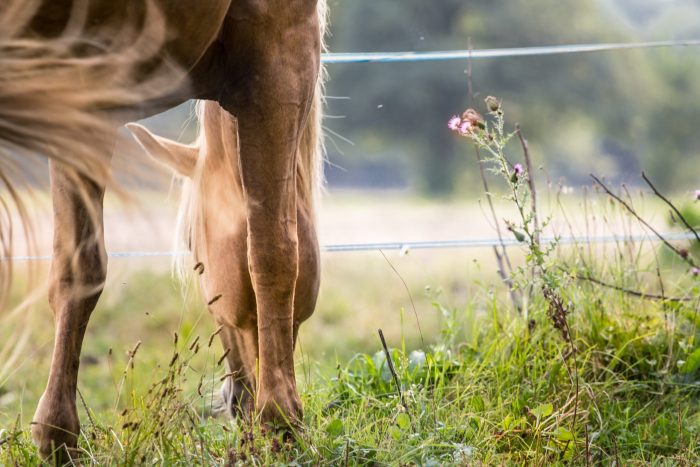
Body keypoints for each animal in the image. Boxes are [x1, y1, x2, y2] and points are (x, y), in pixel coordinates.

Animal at [1, 0, 326, 460]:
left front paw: (57, 436)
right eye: (192, 245)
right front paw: (281, 423)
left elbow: (77, 269)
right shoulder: (283, 41)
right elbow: (274, 251)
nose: (232, 401)